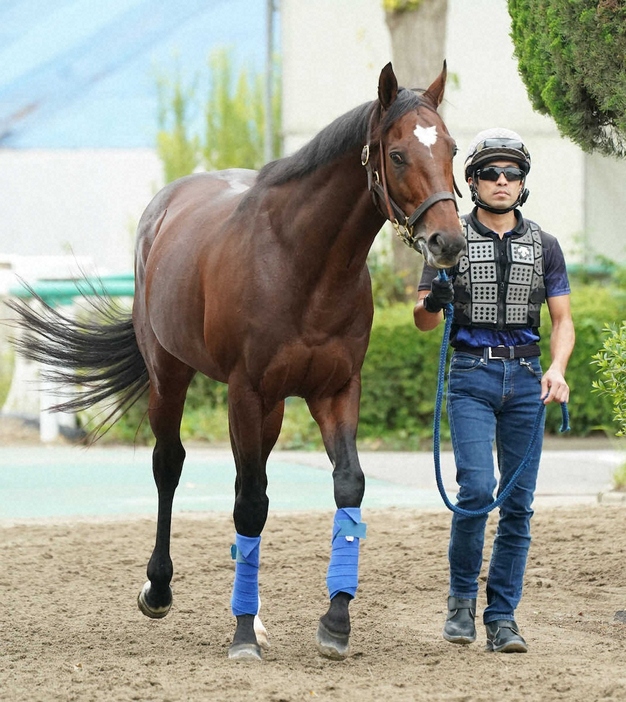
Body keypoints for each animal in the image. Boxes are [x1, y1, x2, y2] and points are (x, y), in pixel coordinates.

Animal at [8, 63, 464, 664]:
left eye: (452, 148)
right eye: (397, 154)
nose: (448, 242)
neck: (302, 262)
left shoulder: (336, 390)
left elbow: (346, 487)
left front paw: (335, 623)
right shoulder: (246, 390)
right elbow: (249, 505)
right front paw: (244, 634)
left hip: (267, 409)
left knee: (248, 481)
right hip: (172, 376)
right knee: (172, 465)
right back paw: (160, 589)